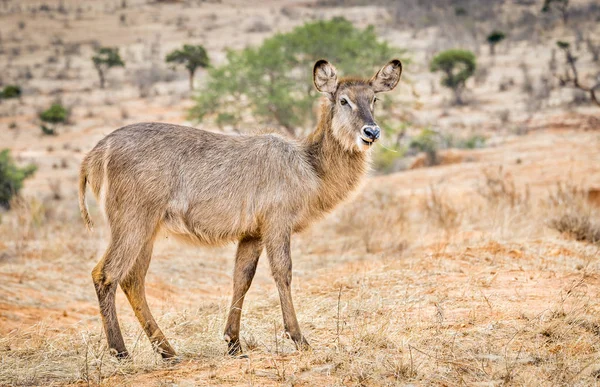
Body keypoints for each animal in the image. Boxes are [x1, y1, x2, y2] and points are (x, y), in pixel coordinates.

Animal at [77, 58, 400, 360]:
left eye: (374, 99)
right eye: (344, 100)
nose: (371, 131)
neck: (310, 165)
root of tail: (97, 151)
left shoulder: (252, 233)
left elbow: (242, 278)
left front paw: (233, 342)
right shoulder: (277, 222)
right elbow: (283, 272)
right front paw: (299, 338)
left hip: (148, 230)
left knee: (132, 280)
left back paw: (168, 351)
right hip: (132, 223)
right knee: (104, 275)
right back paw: (120, 351)